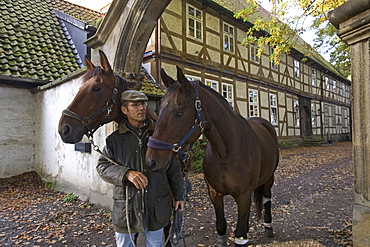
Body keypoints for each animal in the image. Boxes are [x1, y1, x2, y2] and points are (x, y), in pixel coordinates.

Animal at [146, 66, 278, 246]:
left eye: (178, 113)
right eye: (159, 111)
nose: (151, 161)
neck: (226, 153)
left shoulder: (244, 196)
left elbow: (240, 234)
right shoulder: (215, 194)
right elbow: (221, 226)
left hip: (269, 179)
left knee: (266, 199)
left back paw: (268, 226)